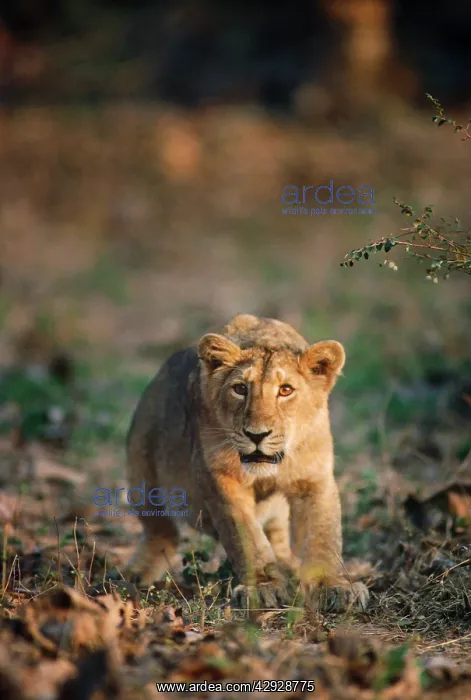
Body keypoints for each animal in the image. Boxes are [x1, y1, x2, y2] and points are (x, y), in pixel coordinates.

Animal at [125, 314, 368, 611]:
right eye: (240, 389)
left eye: (285, 390)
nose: (256, 435)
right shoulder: (220, 478)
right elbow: (246, 538)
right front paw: (263, 587)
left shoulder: (314, 478)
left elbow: (323, 534)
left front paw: (333, 586)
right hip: (142, 473)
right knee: (161, 530)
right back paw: (137, 574)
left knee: (277, 534)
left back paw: (287, 565)